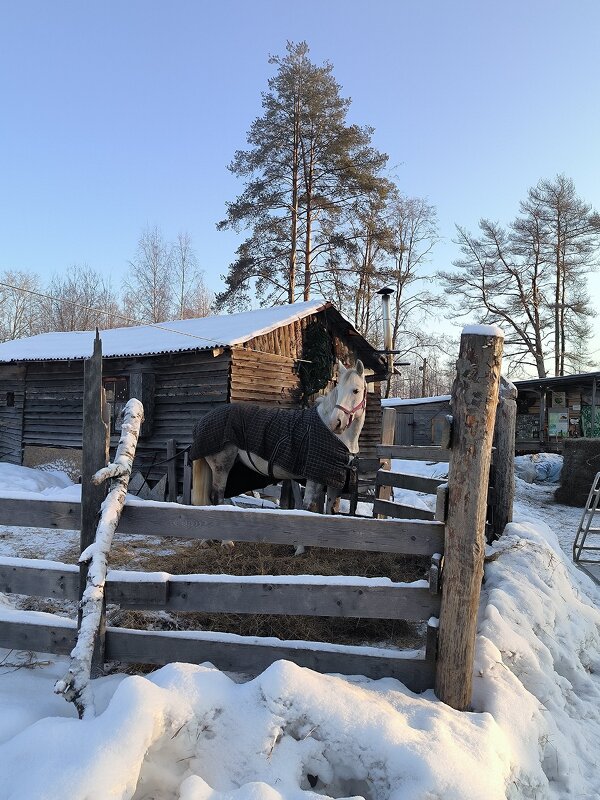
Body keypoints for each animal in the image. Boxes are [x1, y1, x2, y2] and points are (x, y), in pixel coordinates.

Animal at [190, 362, 368, 552]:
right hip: (221, 467)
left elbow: (328, 511)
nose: (337, 423)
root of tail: (204, 420)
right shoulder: (314, 479)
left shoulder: (330, 480)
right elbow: (306, 509)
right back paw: (226, 541)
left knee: (209, 500)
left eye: (355, 390)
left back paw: (208, 539)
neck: (334, 435)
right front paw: (300, 548)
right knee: (217, 498)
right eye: (339, 389)